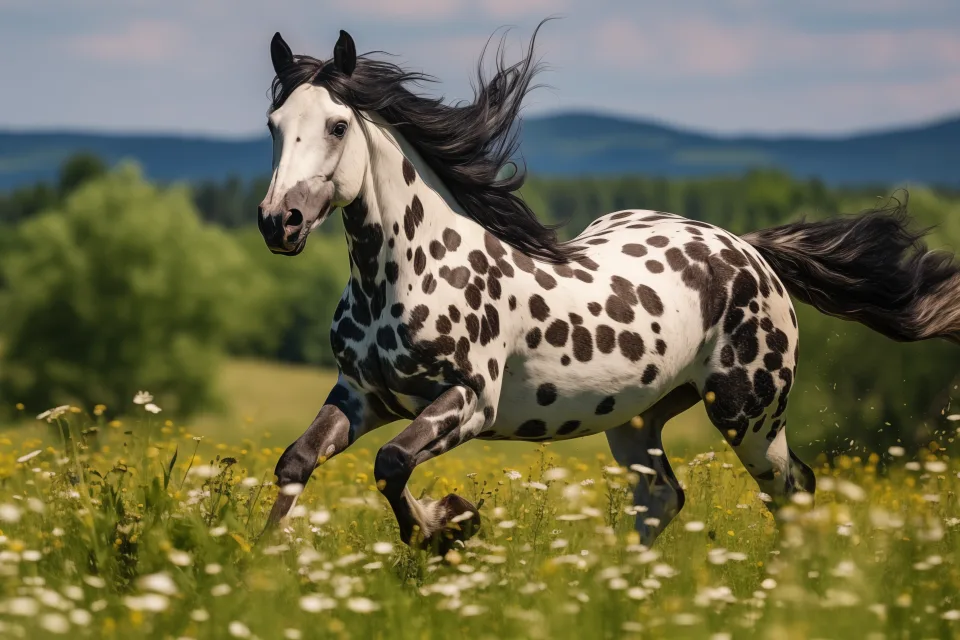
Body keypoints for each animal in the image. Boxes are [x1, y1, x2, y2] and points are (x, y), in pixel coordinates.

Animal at [256, 25, 960, 551]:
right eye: (273, 123)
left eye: (337, 126)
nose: (277, 222)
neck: (408, 272)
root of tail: (749, 251)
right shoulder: (363, 396)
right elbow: (296, 463)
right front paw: (262, 564)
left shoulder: (468, 403)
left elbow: (392, 464)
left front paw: (448, 524)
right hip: (637, 419)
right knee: (664, 497)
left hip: (749, 414)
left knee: (793, 488)